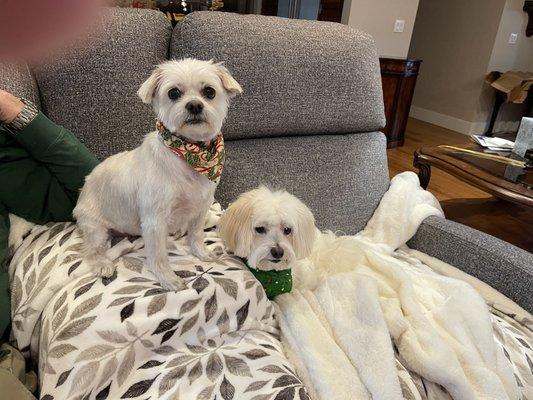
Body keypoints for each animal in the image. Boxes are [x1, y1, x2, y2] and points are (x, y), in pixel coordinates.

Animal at [72, 57, 241, 290]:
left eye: (209, 91)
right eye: (173, 93)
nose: (195, 105)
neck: (189, 156)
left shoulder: (201, 207)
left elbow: (196, 234)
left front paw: (201, 253)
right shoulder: (155, 219)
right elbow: (158, 254)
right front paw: (168, 278)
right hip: (95, 228)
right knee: (90, 251)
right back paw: (102, 264)